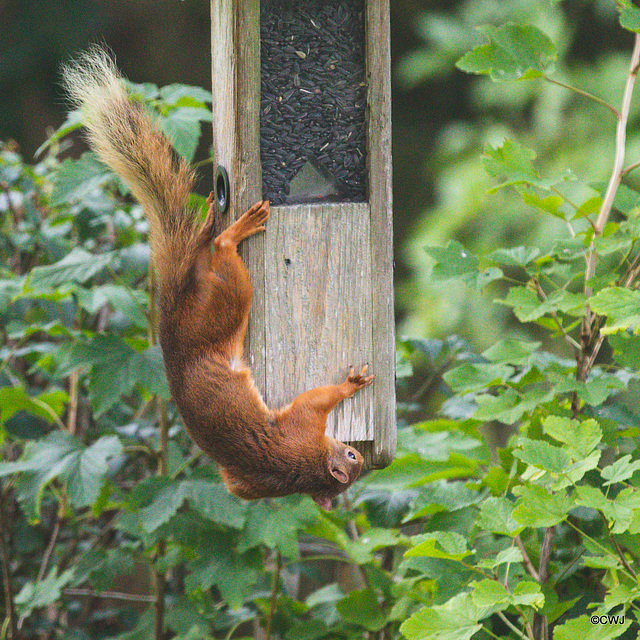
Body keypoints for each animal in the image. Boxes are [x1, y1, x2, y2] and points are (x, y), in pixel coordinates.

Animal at [62, 48, 372, 510]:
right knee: (224, 253)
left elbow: (235, 487)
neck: (305, 467)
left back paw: (211, 222)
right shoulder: (303, 424)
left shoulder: (249, 485)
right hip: (229, 302)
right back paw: (230, 229)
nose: (362, 454)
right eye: (351, 457)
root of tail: (171, 324)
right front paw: (352, 383)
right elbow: (318, 398)